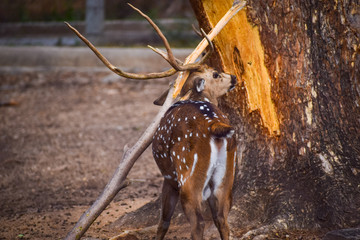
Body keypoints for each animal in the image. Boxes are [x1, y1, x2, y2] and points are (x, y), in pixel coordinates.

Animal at [151, 66, 236, 240]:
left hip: (188, 176)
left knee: (198, 223)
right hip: (227, 175)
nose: (234, 77)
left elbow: (164, 222)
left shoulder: (169, 179)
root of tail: (214, 125)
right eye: (216, 74)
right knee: (222, 219)